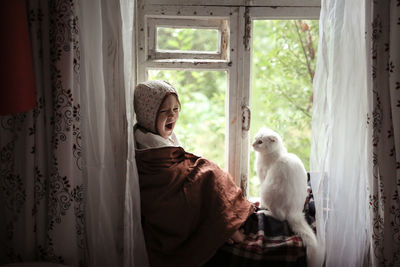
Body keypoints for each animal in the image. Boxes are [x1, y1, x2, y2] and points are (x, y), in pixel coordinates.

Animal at [253, 127, 318, 267]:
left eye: (260, 142)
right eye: (255, 138)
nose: (252, 144)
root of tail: (295, 213)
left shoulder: (263, 179)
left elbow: (262, 201)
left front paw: (260, 205)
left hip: (267, 190)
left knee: (280, 217)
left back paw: (263, 212)